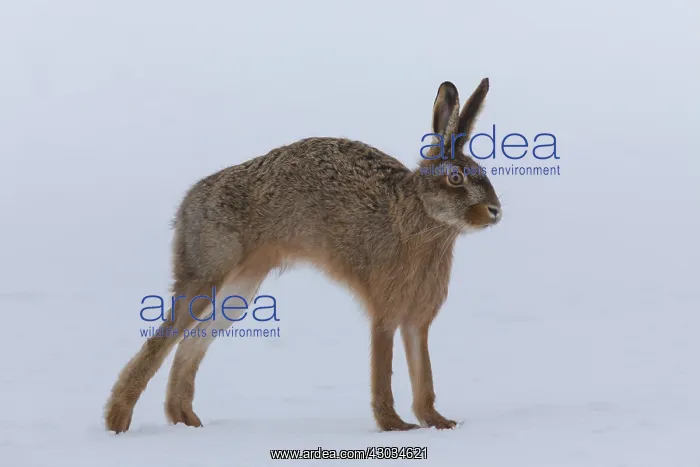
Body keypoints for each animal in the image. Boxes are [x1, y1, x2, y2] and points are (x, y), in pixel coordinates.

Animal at [104, 77, 502, 433]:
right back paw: (118, 422)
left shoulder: (417, 323)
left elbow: (424, 378)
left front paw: (438, 422)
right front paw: (394, 426)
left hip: (240, 289)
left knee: (191, 342)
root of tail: (187, 203)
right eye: (455, 178)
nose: (495, 211)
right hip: (208, 272)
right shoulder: (386, 314)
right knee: (162, 342)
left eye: (483, 173)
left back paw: (186, 421)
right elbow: (383, 372)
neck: (420, 215)